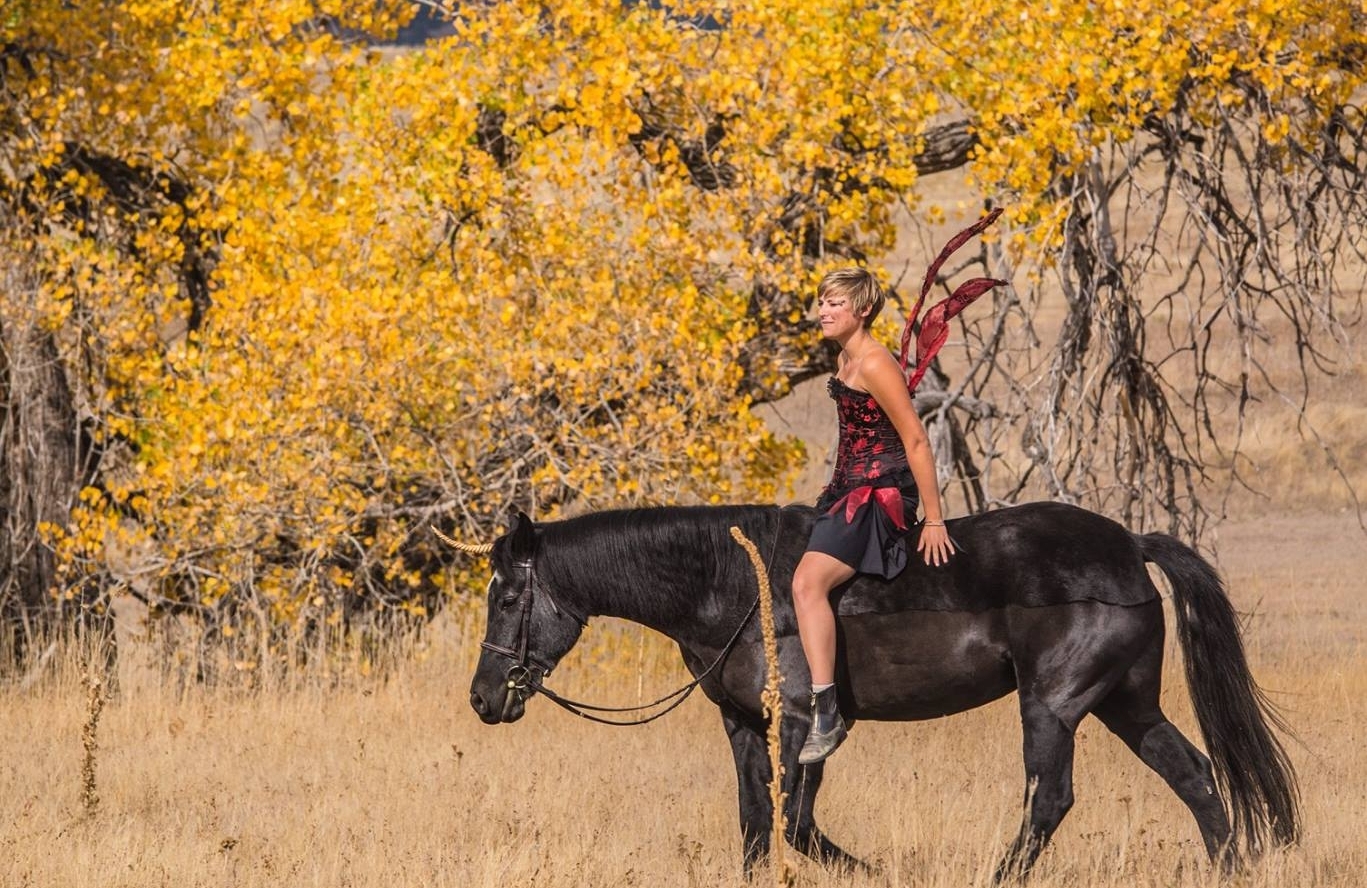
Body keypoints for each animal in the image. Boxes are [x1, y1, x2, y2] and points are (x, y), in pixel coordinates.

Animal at [461, 501, 1299, 880]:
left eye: (509, 596)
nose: (482, 699)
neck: (732, 588)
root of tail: (1128, 542)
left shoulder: (805, 724)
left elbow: (794, 824)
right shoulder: (744, 726)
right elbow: (755, 825)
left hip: (1052, 706)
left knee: (1050, 799)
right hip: (1125, 702)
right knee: (1194, 776)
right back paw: (1230, 868)